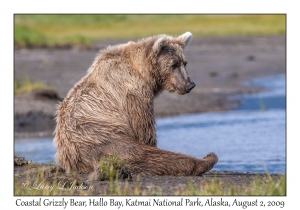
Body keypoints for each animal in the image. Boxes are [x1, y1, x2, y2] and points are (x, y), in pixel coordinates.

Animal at [54, 31, 218, 176]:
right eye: (173, 64)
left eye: (184, 63)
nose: (189, 85)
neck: (144, 74)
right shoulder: (132, 94)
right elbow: (144, 130)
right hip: (101, 137)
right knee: (147, 156)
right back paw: (207, 159)